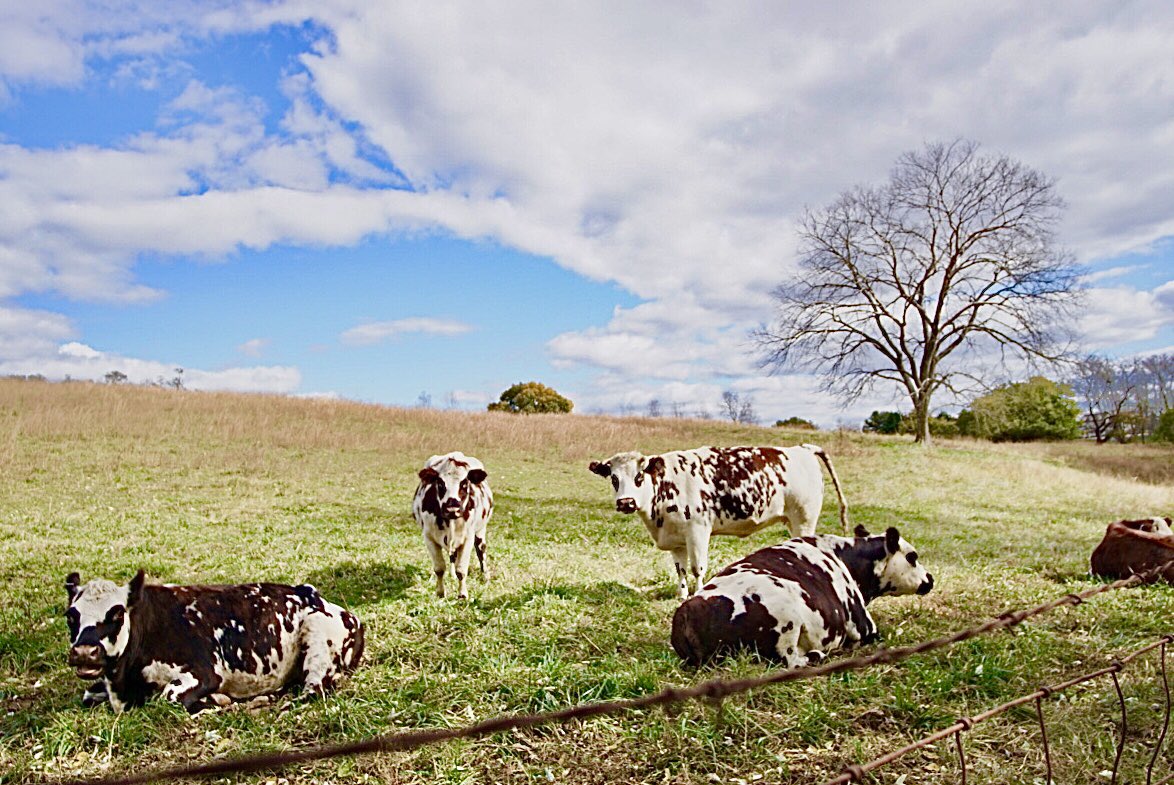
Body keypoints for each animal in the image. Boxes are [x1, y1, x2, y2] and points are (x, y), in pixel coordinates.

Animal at [64, 570, 364, 713]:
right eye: (70, 615)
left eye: (116, 613)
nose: (85, 652)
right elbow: (87, 695)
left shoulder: (205, 671)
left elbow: (168, 696)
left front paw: (217, 701)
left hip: (318, 643)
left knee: (312, 691)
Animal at [412, 451, 493, 599]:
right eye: (440, 483)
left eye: (464, 483)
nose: (452, 509)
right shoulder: (429, 538)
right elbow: (439, 568)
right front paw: (440, 592)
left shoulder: (467, 538)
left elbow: (461, 569)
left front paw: (462, 594)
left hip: (480, 530)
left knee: (481, 551)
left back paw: (485, 575)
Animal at [588, 445, 849, 599]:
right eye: (613, 478)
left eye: (639, 476)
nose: (626, 502)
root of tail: (802, 448)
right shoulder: (676, 539)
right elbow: (681, 570)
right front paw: (682, 595)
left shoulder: (698, 531)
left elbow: (697, 568)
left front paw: (698, 593)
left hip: (804, 519)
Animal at [671, 525, 934, 666]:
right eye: (912, 556)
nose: (930, 578)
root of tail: (687, 613)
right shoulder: (864, 626)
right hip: (787, 619)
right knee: (792, 662)